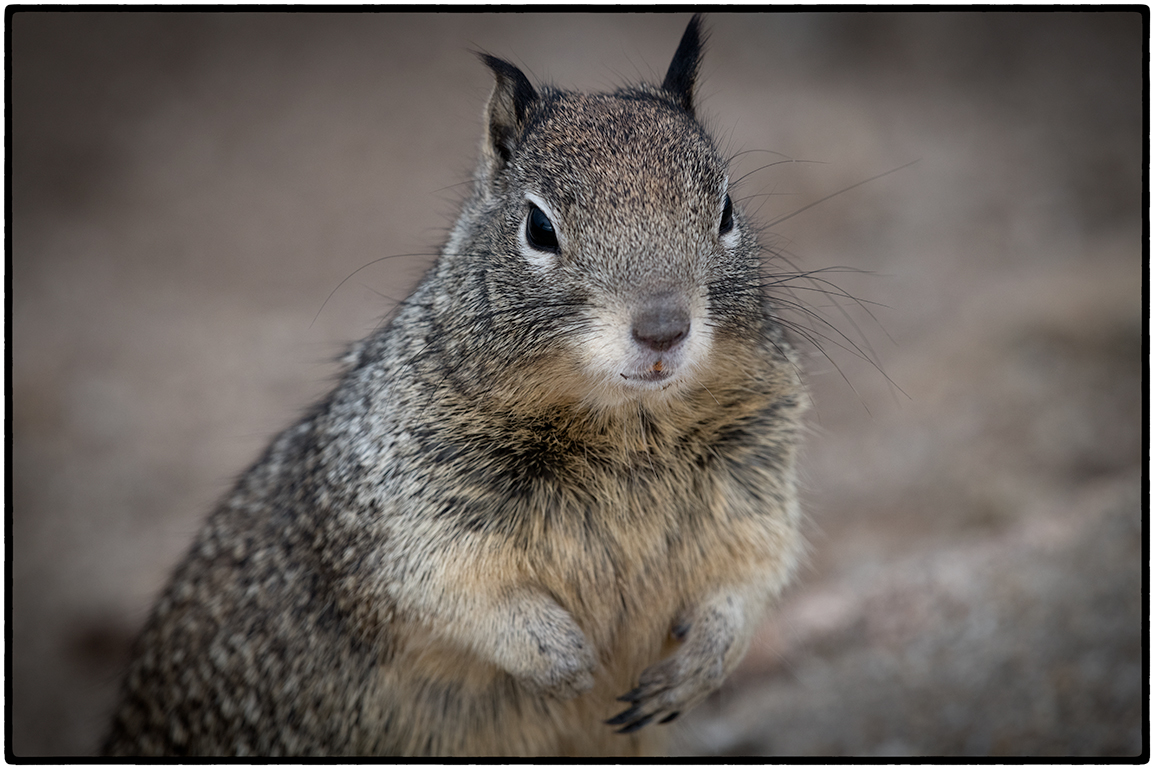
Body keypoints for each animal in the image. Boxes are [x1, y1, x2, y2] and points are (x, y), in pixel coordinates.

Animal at [106, 16, 812, 752]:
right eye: (539, 227)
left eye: (726, 209)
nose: (663, 328)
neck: (627, 425)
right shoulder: (404, 506)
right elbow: (454, 589)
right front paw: (562, 657)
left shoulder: (760, 469)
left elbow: (754, 571)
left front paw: (703, 660)